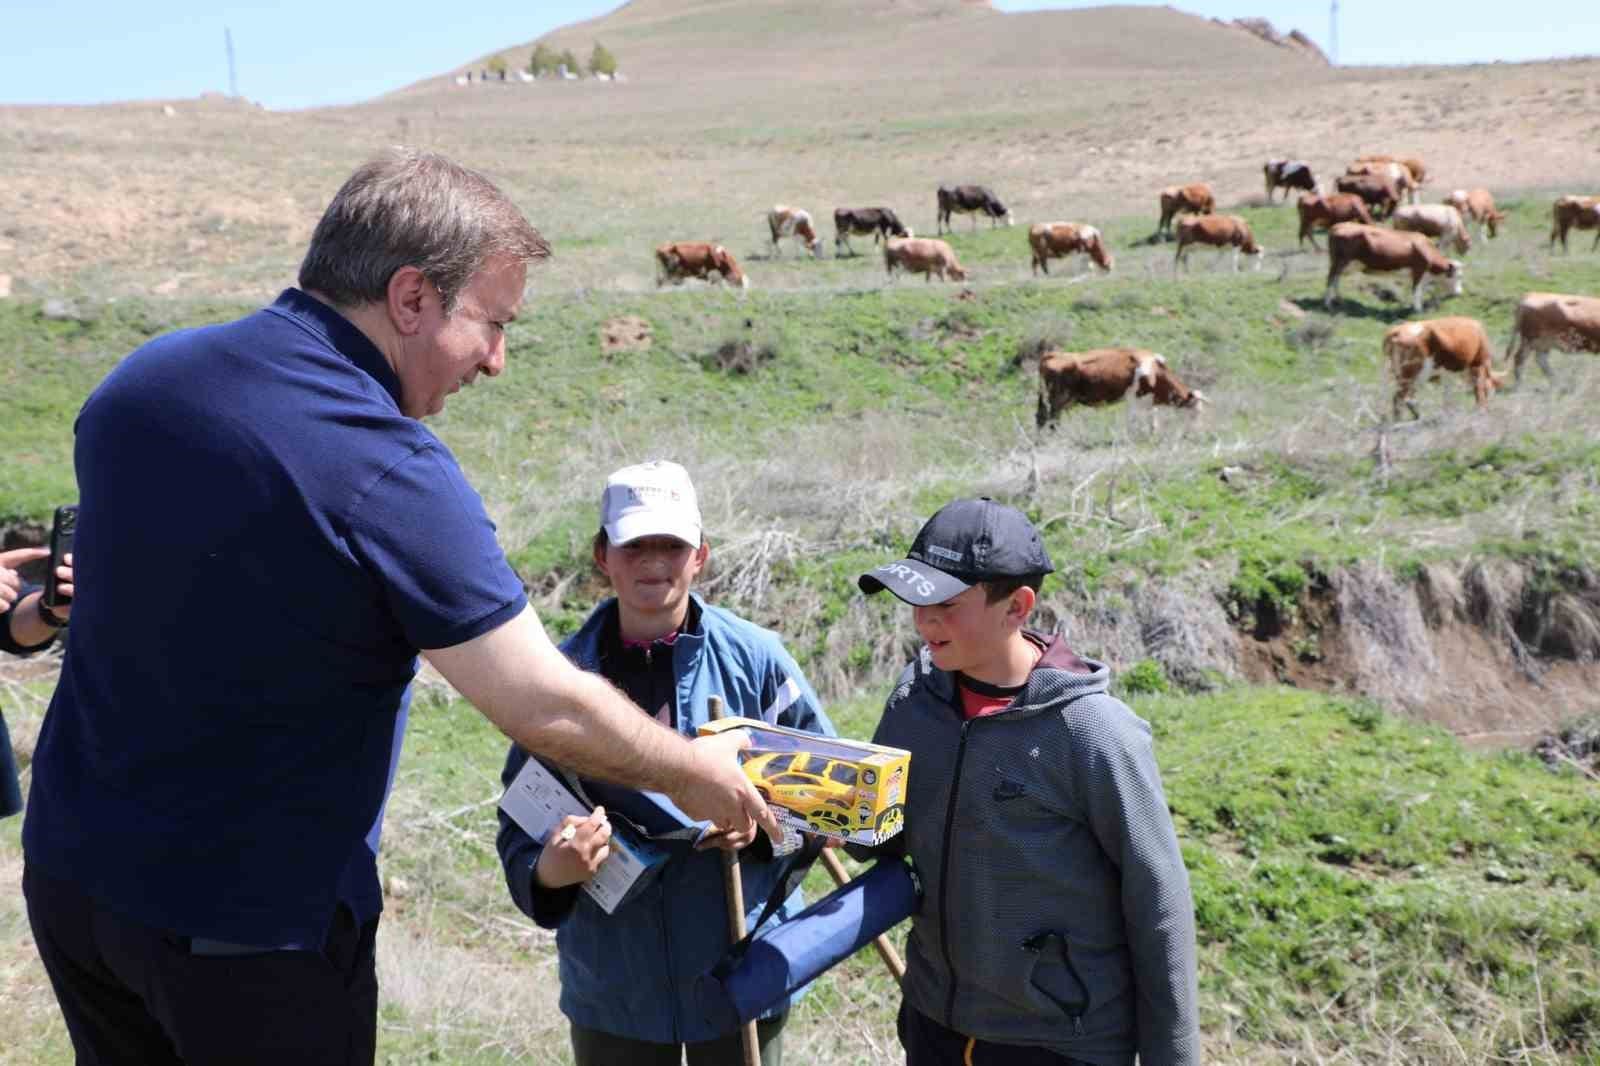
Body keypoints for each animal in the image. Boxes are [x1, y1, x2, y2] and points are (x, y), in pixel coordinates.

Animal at [1030, 350, 1203, 428]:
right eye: (1195, 411)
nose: (1196, 431)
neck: (1155, 372)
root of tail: (1053, 354)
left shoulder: (1149, 400)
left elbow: (1153, 420)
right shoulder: (1134, 399)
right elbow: (1133, 420)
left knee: (1042, 417)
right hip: (1057, 398)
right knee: (1051, 418)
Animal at [1324, 220, 1465, 312]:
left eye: (1461, 276)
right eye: (1457, 276)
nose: (1459, 293)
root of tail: (1338, 225)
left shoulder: (1415, 274)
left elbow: (1412, 289)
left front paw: (1405, 304)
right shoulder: (1418, 270)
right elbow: (1416, 290)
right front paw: (1417, 309)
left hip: (1345, 264)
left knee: (1336, 279)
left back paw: (1340, 300)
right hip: (1339, 261)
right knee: (1331, 278)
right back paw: (1328, 304)